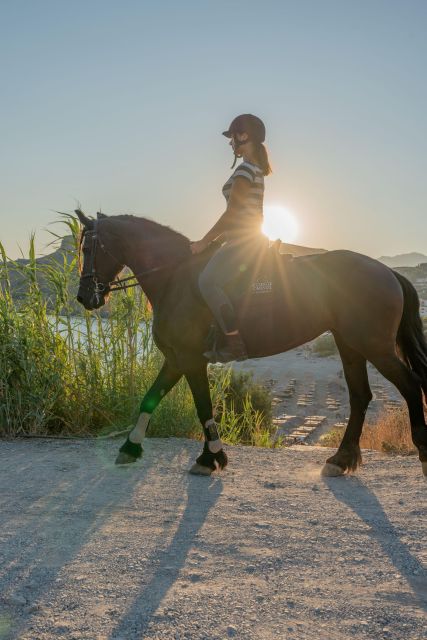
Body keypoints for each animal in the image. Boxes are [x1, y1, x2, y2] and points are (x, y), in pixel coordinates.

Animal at [75, 210, 427, 476]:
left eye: (89, 250)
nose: (84, 297)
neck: (175, 277)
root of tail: (388, 272)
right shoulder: (176, 359)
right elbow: (150, 399)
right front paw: (130, 447)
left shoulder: (190, 359)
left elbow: (203, 406)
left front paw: (211, 457)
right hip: (351, 344)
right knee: (360, 396)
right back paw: (341, 460)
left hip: (375, 346)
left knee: (410, 386)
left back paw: (421, 455)